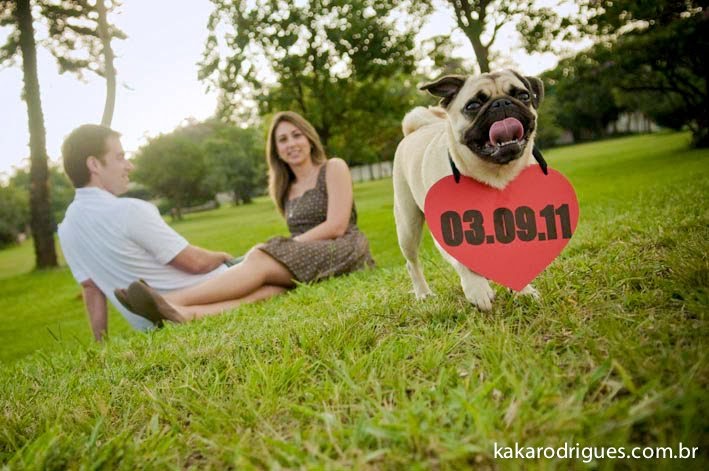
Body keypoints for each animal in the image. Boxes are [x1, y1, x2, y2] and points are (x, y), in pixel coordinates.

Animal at [392, 70, 544, 312]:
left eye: (523, 96)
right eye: (473, 105)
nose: (502, 103)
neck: (495, 176)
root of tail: (417, 129)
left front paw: (523, 291)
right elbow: (464, 262)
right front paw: (478, 289)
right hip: (408, 225)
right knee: (412, 263)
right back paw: (423, 294)